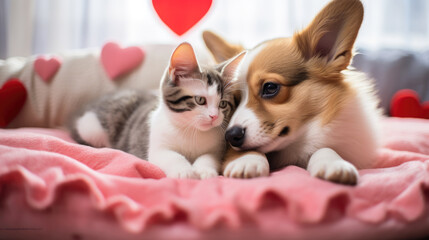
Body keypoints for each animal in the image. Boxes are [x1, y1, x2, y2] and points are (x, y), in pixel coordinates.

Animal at [69, 42, 244, 178]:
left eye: (223, 104)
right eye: (200, 100)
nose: (214, 116)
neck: (191, 131)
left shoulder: (218, 148)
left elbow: (210, 157)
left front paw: (204, 171)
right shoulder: (156, 146)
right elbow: (171, 156)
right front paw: (184, 171)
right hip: (91, 128)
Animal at [204, 0, 382, 185]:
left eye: (270, 87)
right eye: (235, 99)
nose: (231, 136)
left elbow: (324, 148)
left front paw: (334, 164)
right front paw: (246, 160)